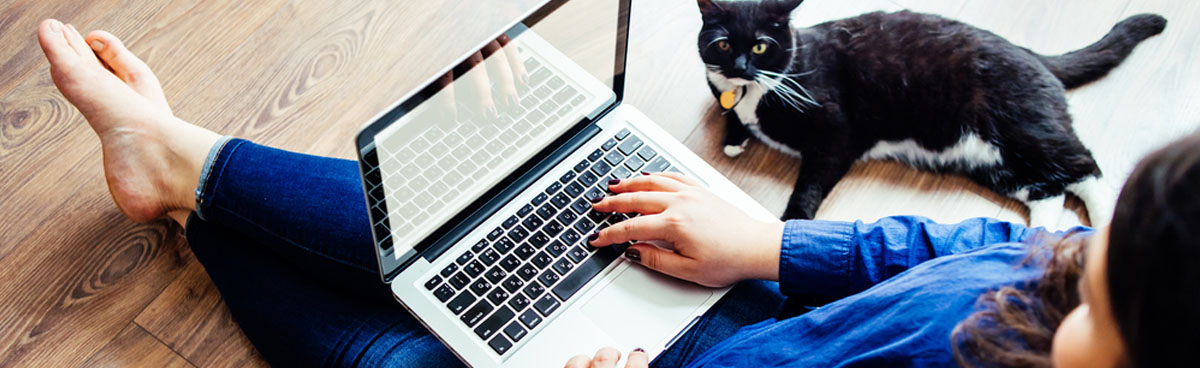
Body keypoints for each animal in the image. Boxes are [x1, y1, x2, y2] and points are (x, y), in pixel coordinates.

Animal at [700, 0, 1166, 227]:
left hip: (1026, 132)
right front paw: (734, 138)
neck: (754, 91)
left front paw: (790, 222)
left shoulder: (837, 135)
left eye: (761, 46)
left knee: (1085, 169)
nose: (740, 66)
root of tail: (1033, 54)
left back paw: (1104, 227)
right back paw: (1036, 238)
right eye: (722, 44)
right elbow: (732, 116)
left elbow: (810, 185)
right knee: (1048, 191)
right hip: (995, 162)